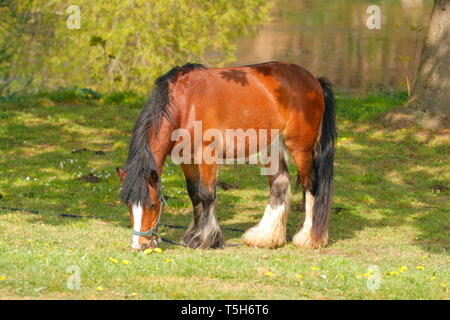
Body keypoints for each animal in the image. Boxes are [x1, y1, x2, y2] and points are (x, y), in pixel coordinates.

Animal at [118, 60, 336, 250]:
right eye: (128, 205)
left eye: (152, 205)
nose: (139, 245)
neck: (186, 104)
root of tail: (313, 80)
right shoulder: (186, 158)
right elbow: (194, 194)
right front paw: (193, 236)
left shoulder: (206, 154)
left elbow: (206, 194)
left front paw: (206, 240)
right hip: (272, 147)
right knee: (280, 183)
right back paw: (265, 237)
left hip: (300, 148)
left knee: (311, 186)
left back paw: (309, 238)